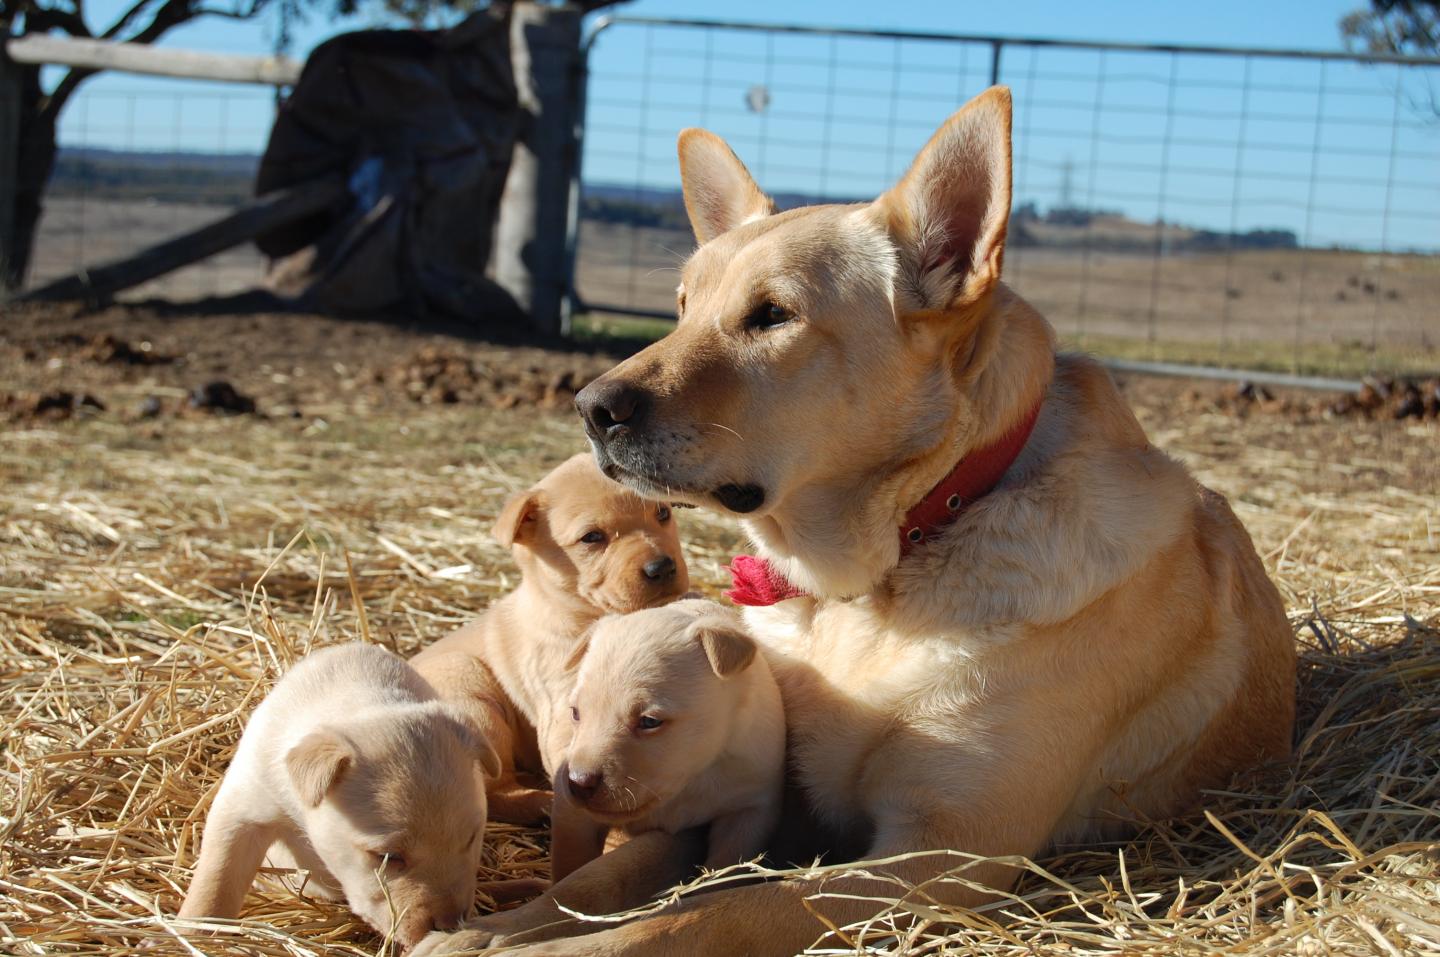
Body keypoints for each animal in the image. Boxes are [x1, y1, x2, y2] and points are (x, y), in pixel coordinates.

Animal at [178, 641, 501, 949]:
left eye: (471, 839)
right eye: (388, 856)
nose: (450, 925)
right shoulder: (243, 804)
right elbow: (218, 876)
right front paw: (194, 931)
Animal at [411, 451, 691, 823]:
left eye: (662, 513)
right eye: (592, 537)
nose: (662, 567)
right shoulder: (561, 708)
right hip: (471, 694)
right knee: (495, 792)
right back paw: (540, 802)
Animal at [544, 601, 783, 886]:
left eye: (649, 721)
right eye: (576, 713)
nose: (579, 782)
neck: (689, 781)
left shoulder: (749, 808)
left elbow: (727, 862)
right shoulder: (572, 814)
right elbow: (570, 860)